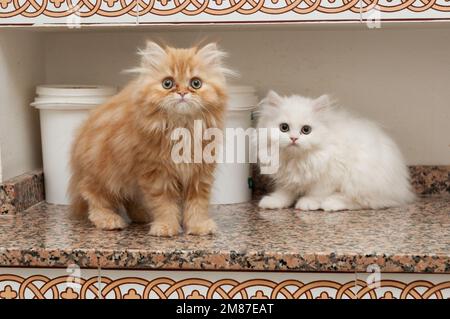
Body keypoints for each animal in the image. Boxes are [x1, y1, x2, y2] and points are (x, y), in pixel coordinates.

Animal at [70, 42, 232, 238]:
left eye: (196, 83)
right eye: (167, 83)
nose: (182, 93)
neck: (183, 128)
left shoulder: (200, 173)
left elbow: (197, 204)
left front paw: (198, 226)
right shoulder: (156, 173)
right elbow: (164, 204)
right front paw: (166, 227)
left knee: (128, 199)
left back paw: (143, 215)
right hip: (104, 174)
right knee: (93, 196)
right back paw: (109, 220)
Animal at [256, 92, 414, 212]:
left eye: (306, 130)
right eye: (284, 127)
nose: (294, 138)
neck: (296, 159)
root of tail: (402, 189)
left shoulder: (328, 177)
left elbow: (316, 192)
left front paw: (308, 203)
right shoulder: (287, 178)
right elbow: (284, 193)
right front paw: (273, 202)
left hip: (359, 181)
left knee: (363, 202)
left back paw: (331, 203)